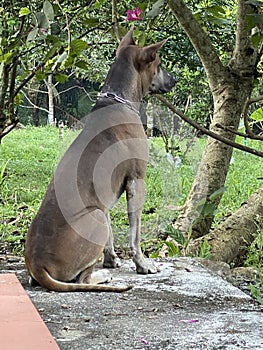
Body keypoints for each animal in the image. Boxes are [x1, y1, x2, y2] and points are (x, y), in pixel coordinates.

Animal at [25, 27, 177, 292]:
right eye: (158, 64)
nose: (174, 80)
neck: (117, 100)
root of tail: (38, 265)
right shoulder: (136, 181)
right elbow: (135, 234)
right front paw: (142, 264)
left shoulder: (104, 195)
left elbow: (111, 235)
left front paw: (111, 259)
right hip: (94, 216)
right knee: (82, 279)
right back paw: (101, 276)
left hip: (97, 213)